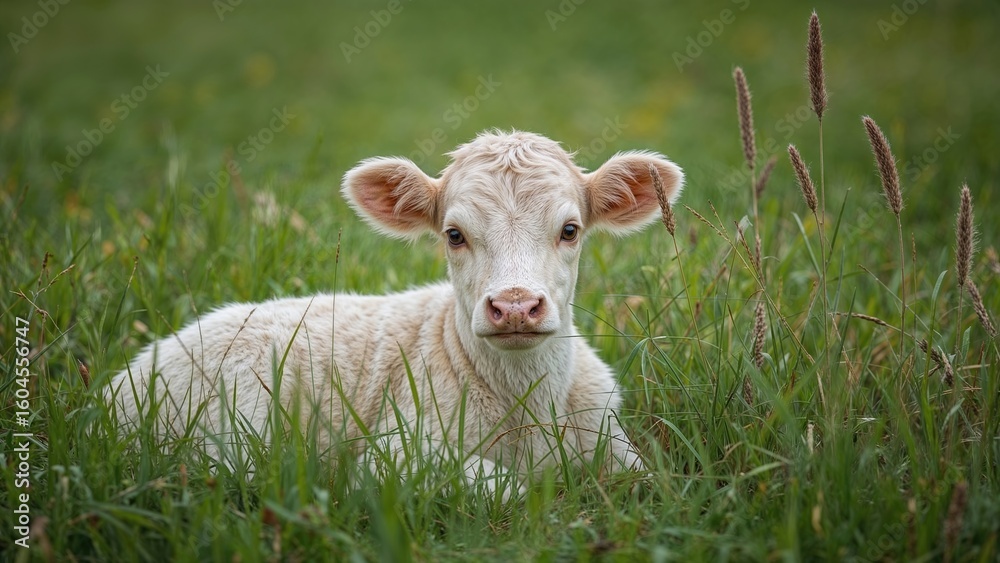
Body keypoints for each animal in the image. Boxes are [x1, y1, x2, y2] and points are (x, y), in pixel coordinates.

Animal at [109, 129, 683, 497]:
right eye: (454, 234)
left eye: (570, 230)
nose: (515, 306)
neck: (527, 410)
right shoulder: (396, 453)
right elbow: (515, 490)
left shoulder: (612, 434)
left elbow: (656, 482)